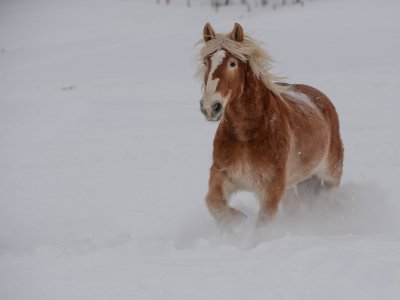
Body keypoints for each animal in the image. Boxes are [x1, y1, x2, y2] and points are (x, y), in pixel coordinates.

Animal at [197, 22, 344, 226]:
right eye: (205, 62)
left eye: (233, 63)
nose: (211, 107)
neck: (246, 135)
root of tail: (322, 99)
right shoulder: (221, 173)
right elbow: (214, 203)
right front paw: (237, 221)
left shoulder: (272, 187)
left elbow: (263, 224)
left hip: (331, 173)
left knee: (327, 196)